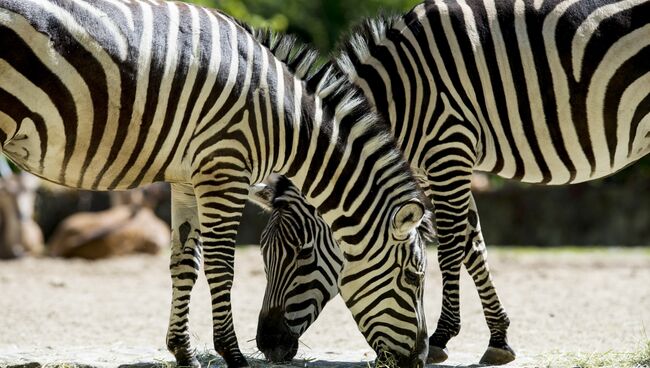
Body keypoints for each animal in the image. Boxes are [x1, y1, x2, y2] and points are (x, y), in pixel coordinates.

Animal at [1, 1, 436, 366]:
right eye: (414, 276)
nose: (419, 357)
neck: (282, 119)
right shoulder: (224, 168)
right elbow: (220, 266)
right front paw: (232, 354)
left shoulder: (185, 177)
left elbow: (184, 263)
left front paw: (183, 352)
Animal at [252, 0, 648, 366]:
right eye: (264, 253)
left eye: (303, 254)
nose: (267, 345)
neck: (403, 94)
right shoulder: (436, 167)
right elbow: (475, 245)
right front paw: (499, 339)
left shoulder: (449, 149)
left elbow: (452, 247)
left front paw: (441, 338)